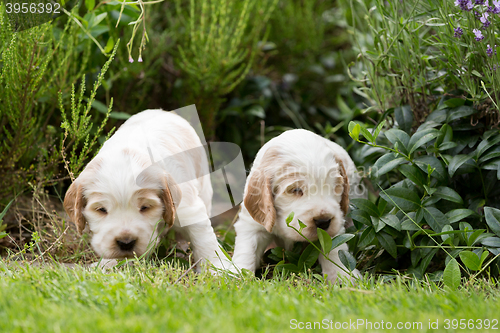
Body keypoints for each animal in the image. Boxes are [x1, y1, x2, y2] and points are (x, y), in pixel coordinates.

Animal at [62, 109, 229, 270]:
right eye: (101, 210)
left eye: (145, 207)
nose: (126, 242)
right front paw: (106, 265)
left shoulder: (188, 208)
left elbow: (203, 238)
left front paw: (217, 269)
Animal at [232, 128, 362, 282]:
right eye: (296, 190)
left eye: (335, 187)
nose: (323, 222)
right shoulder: (252, 224)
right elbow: (247, 249)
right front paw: (237, 277)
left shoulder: (336, 222)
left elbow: (333, 247)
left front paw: (342, 276)